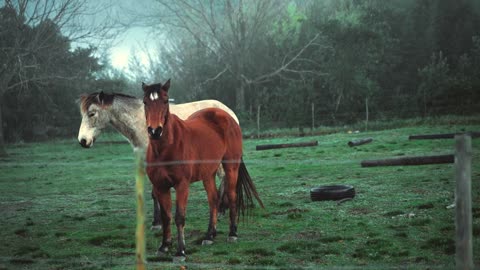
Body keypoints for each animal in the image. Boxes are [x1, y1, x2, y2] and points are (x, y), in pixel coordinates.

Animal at [76, 92, 238, 229]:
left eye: (91, 113)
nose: (83, 141)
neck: (142, 122)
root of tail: (228, 112)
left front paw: (158, 223)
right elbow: (155, 193)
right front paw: (157, 221)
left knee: (224, 177)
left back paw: (221, 210)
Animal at [142, 79, 264, 260]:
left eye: (165, 100)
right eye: (145, 102)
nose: (155, 131)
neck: (166, 148)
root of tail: (227, 116)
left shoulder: (182, 185)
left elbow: (179, 217)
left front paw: (180, 251)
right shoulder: (160, 186)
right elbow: (166, 216)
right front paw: (164, 246)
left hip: (230, 167)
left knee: (231, 196)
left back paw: (232, 233)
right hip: (208, 173)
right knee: (213, 199)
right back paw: (209, 236)